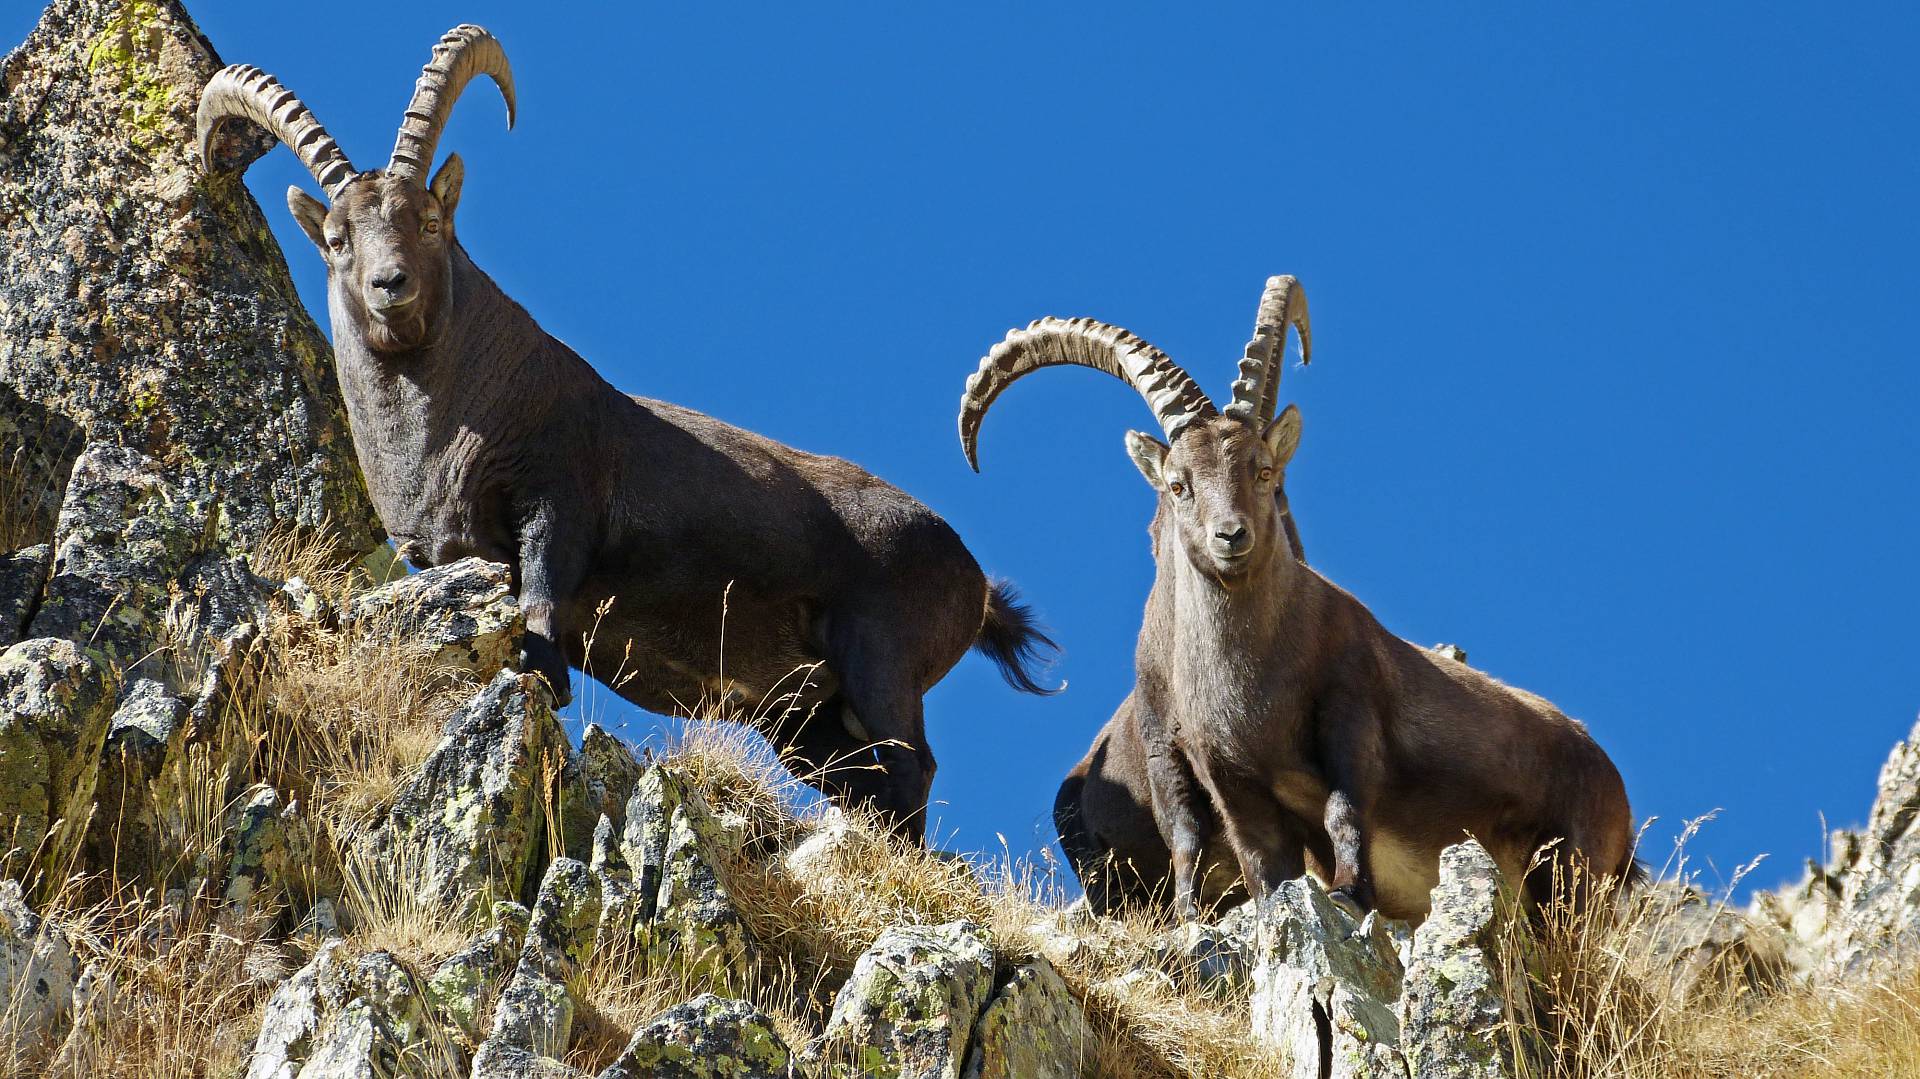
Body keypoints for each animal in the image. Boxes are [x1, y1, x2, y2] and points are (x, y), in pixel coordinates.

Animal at [197, 26, 1056, 843]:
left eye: (430, 220)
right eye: (338, 238)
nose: (390, 285)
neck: (443, 426)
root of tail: (977, 584)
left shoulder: (555, 508)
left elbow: (543, 618)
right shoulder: (438, 555)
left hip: (881, 663)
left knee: (912, 772)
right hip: (803, 720)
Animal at [963, 276, 1634, 918]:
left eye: (1262, 470)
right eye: (1179, 484)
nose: (1231, 535)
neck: (1254, 680)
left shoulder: (1349, 713)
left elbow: (1345, 812)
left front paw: (1351, 896)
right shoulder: (1211, 766)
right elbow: (1244, 853)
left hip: (1572, 867)